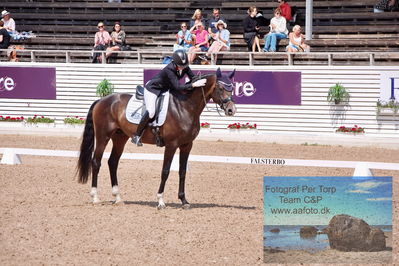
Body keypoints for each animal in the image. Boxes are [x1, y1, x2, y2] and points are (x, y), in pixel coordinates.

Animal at [76, 67, 236, 209]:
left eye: (232, 88)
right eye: (220, 88)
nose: (231, 110)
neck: (185, 107)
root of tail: (101, 100)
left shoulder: (187, 145)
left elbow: (182, 172)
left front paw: (184, 201)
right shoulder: (171, 145)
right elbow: (165, 171)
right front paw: (160, 201)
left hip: (119, 138)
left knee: (113, 162)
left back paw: (118, 197)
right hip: (103, 136)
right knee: (96, 162)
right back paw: (95, 197)